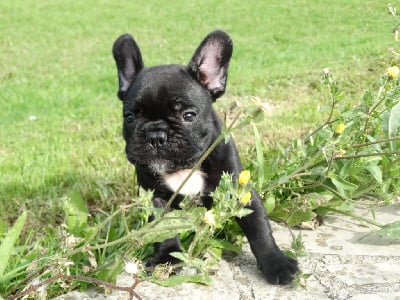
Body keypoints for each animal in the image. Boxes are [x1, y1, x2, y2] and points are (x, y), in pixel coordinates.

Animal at [111, 31, 296, 286]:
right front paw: (166, 259)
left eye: (188, 115)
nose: (156, 135)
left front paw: (276, 263)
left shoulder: (241, 192)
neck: (185, 168)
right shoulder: (155, 197)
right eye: (130, 117)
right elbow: (164, 228)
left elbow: (259, 228)